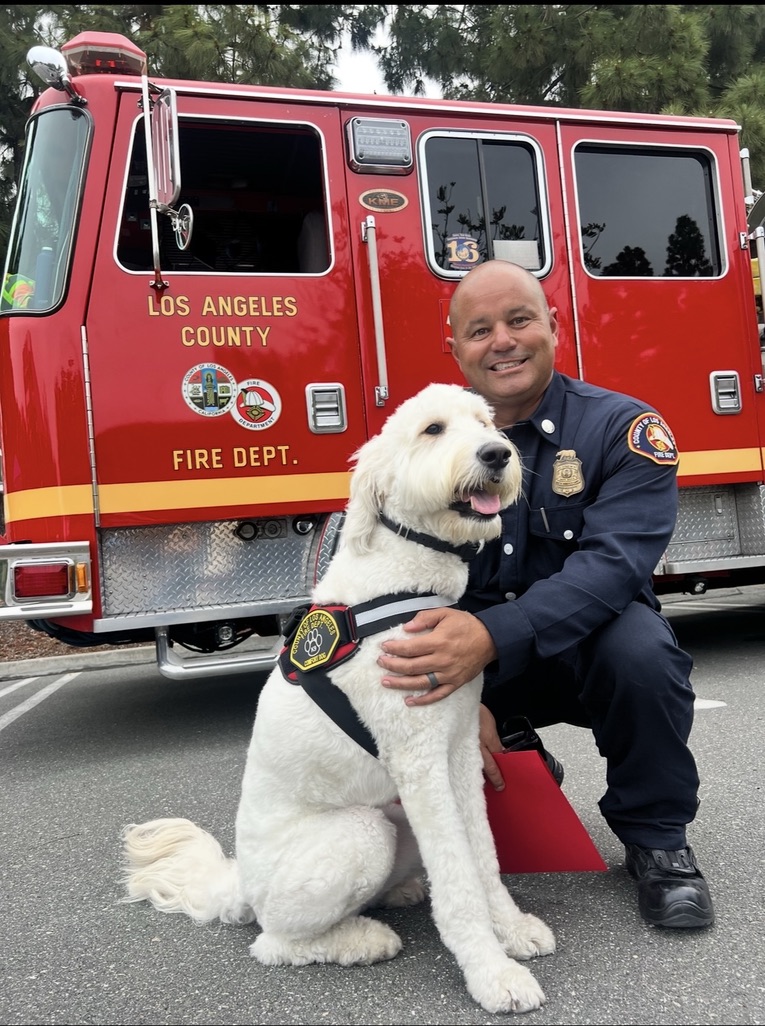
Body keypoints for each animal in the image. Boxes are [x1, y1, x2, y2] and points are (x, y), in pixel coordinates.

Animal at [120, 382, 556, 1014]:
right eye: (433, 430)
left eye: (483, 423)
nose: (498, 454)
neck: (404, 580)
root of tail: (240, 885)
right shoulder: (420, 765)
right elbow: (459, 880)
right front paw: (491, 974)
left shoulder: (457, 755)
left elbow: (482, 856)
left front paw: (512, 929)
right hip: (361, 834)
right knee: (274, 943)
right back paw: (362, 939)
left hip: (395, 818)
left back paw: (399, 893)